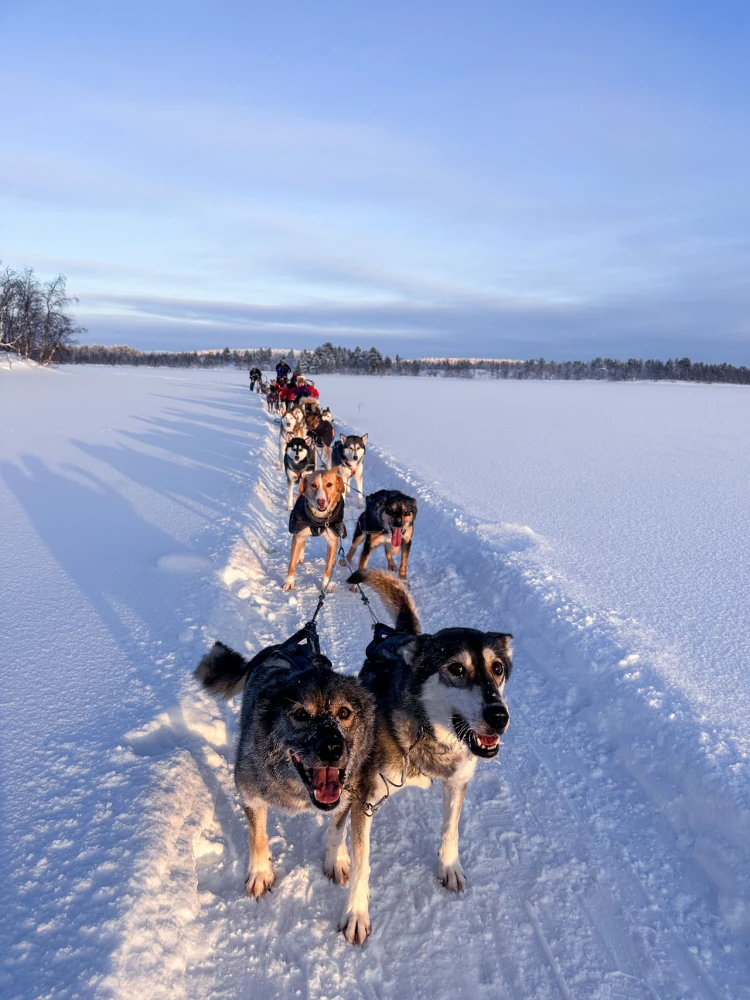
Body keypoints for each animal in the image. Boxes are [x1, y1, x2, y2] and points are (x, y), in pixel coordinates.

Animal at [195, 624, 374, 900]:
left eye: (344, 713)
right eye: (300, 714)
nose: (332, 748)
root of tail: (286, 646)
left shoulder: (347, 794)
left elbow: (337, 830)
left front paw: (336, 860)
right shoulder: (250, 795)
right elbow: (257, 836)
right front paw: (260, 872)